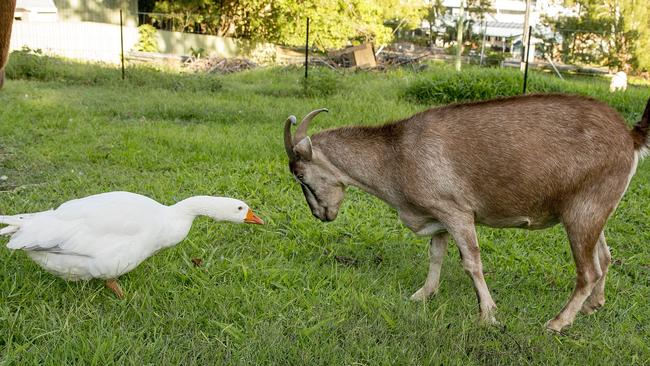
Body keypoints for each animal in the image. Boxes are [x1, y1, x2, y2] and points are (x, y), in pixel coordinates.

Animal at [282, 93, 648, 332]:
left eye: (300, 175)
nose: (321, 215)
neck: (396, 156)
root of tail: (629, 138)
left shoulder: (457, 211)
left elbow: (471, 262)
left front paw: (488, 315)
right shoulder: (438, 215)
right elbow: (436, 254)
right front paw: (423, 295)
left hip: (583, 211)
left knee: (588, 271)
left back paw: (557, 322)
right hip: (595, 210)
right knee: (605, 258)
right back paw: (593, 307)